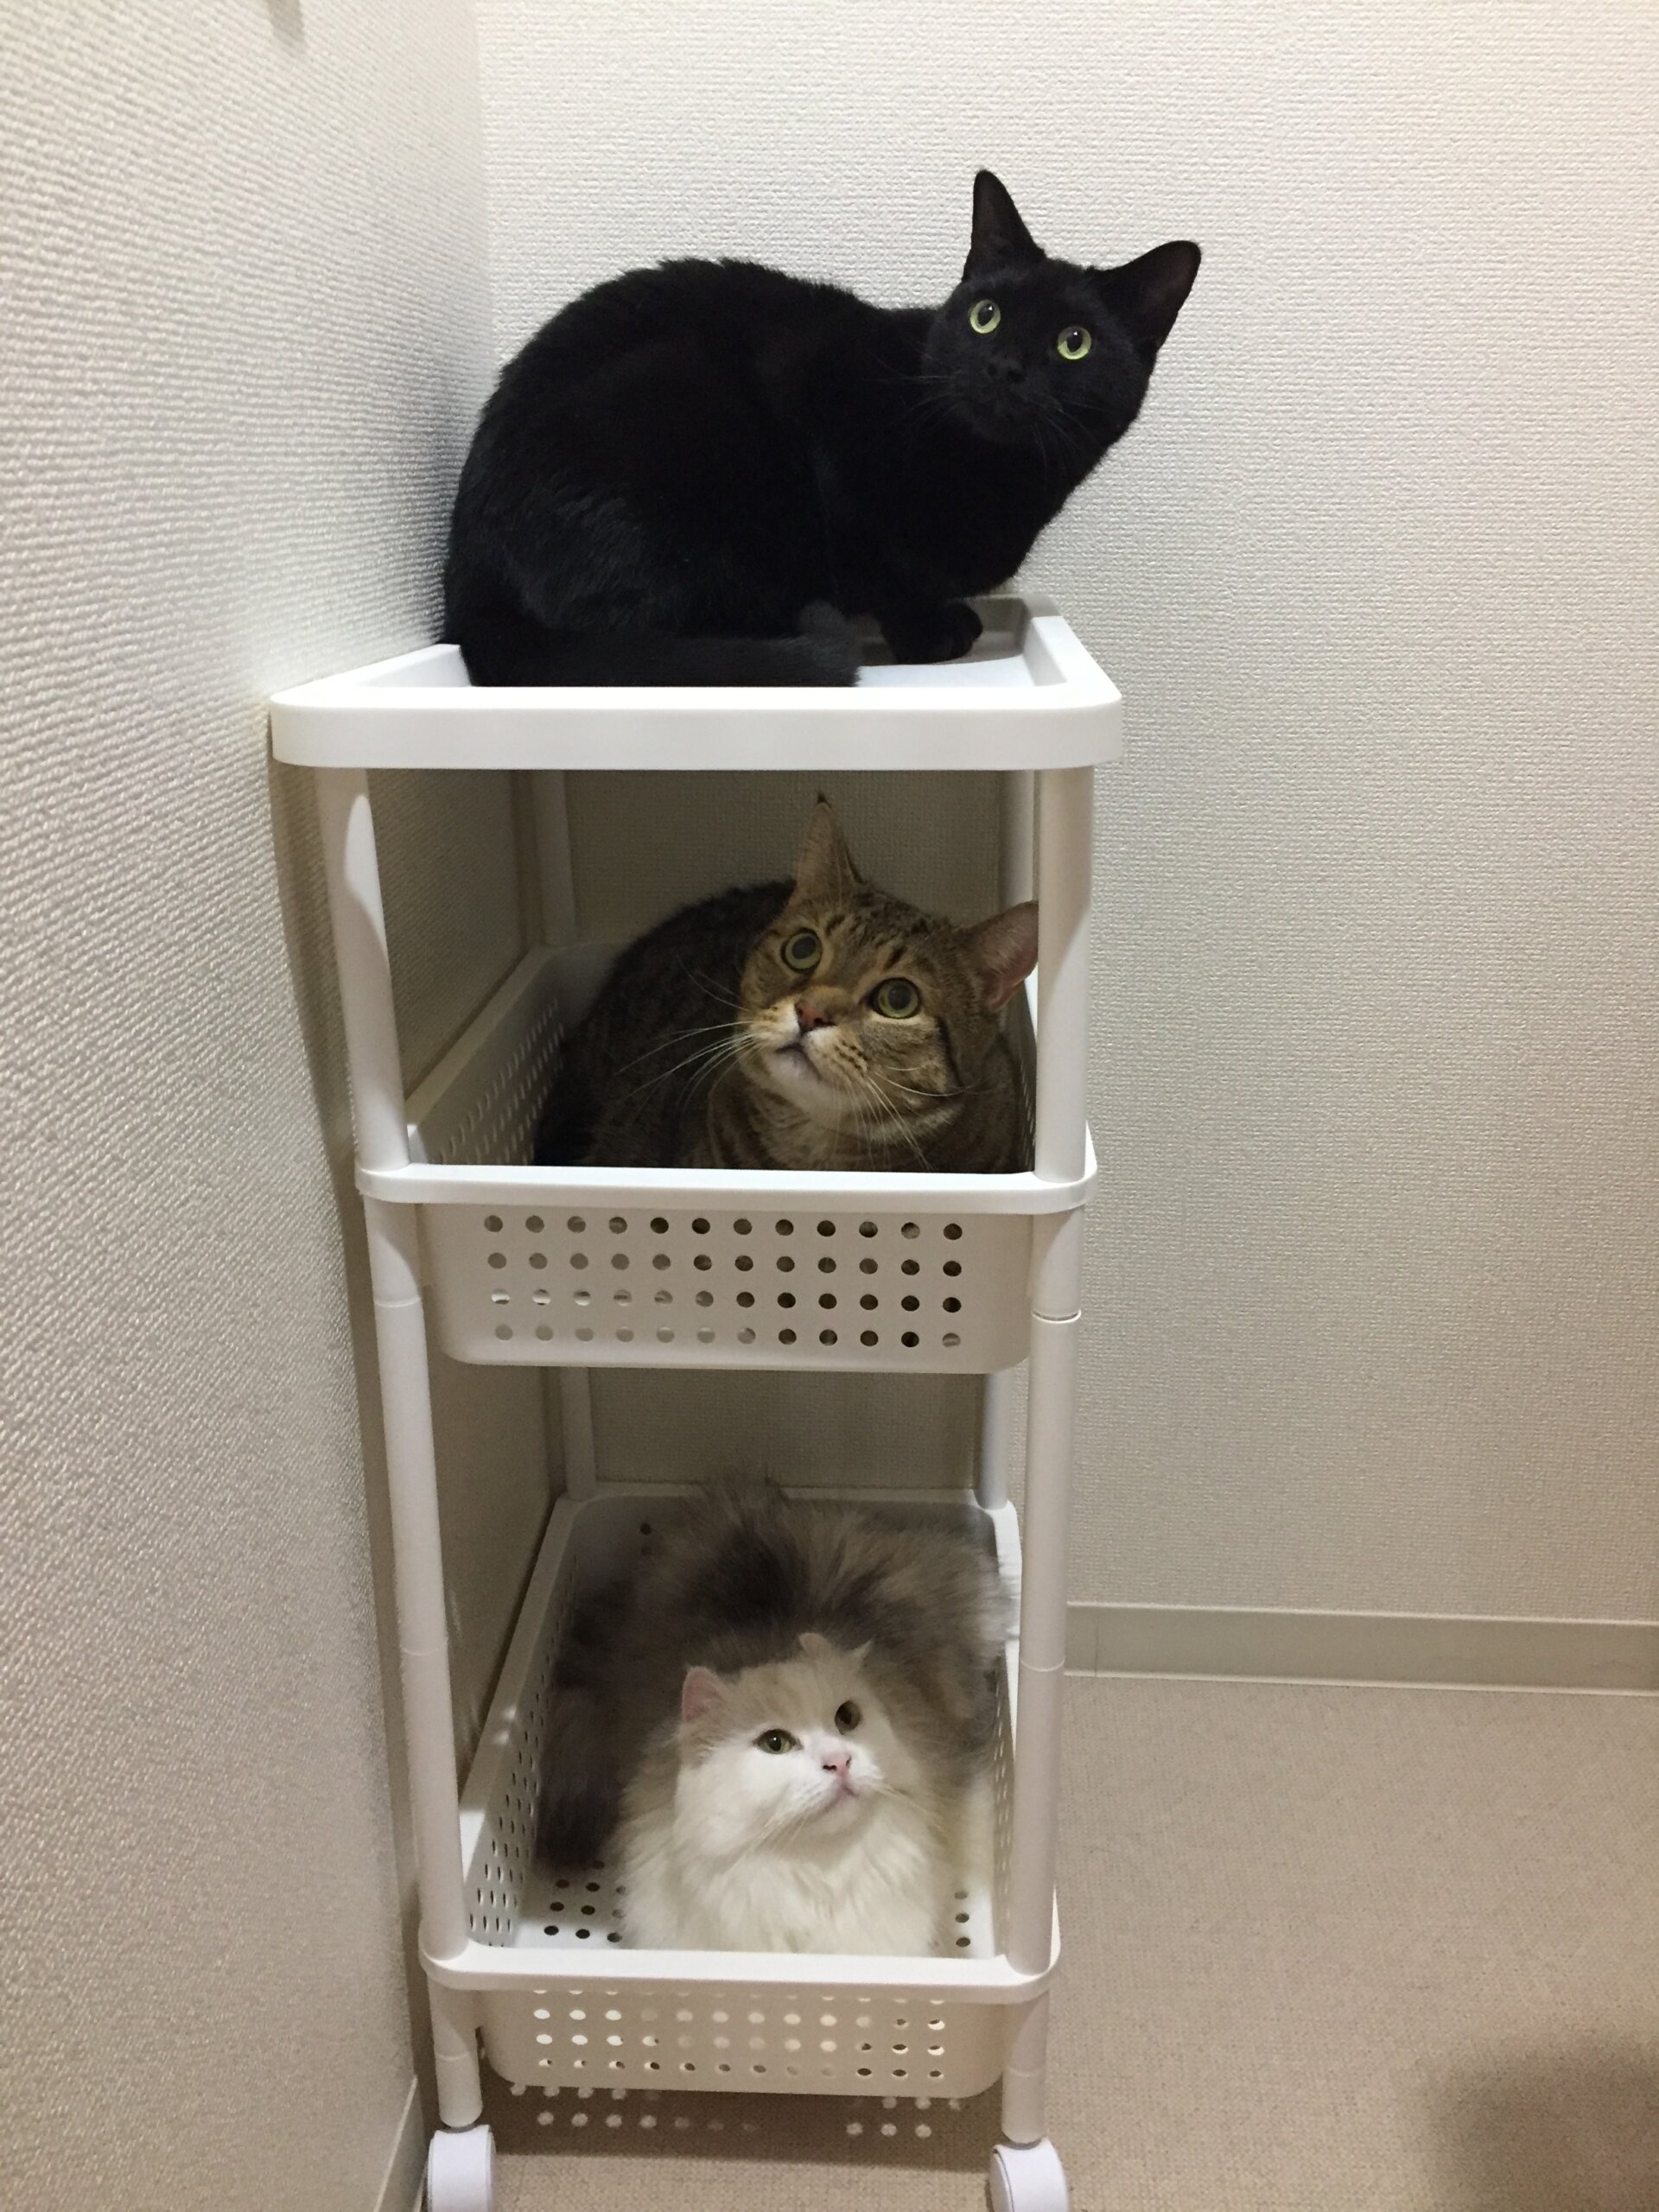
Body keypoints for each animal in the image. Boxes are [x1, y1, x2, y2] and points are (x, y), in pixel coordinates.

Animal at [444, 170, 1199, 686]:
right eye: (986, 316)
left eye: (1074, 343)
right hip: (675, 396)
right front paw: (928, 630)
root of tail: (467, 568)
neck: (995, 475)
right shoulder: (821, 417)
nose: (1005, 366)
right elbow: (882, 560)